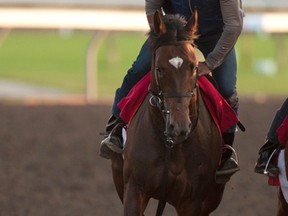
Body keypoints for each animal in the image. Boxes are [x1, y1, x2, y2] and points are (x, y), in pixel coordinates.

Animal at [111, 10, 226, 216]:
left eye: (194, 67)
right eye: (159, 69)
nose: (179, 127)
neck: (172, 145)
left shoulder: (192, 201)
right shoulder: (134, 190)